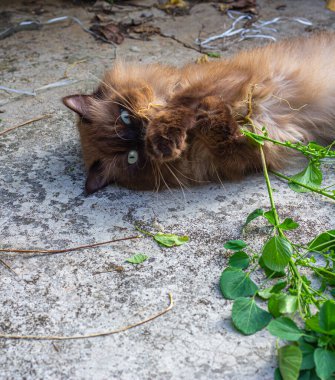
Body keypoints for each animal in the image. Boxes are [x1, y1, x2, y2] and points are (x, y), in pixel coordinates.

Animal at [62, 30, 335, 193]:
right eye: (132, 157)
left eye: (125, 117)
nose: (143, 132)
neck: (192, 141)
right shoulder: (249, 151)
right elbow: (222, 130)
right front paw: (210, 114)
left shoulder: (219, 83)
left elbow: (184, 103)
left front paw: (167, 134)